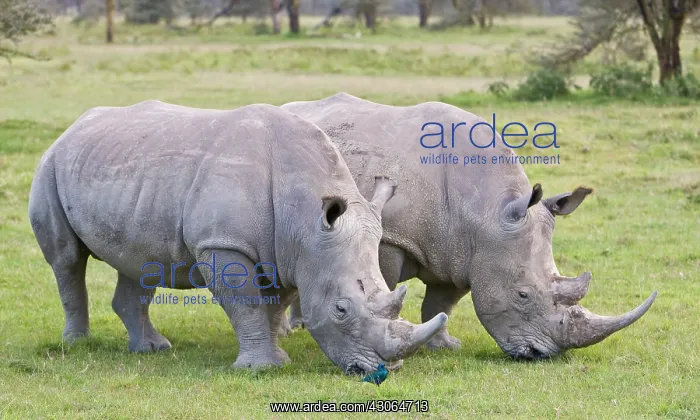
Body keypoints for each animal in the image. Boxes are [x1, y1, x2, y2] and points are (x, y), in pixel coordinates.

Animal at [28, 100, 448, 374]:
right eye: (341, 309)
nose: (382, 370)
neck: (304, 214)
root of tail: (72, 128)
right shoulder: (223, 243)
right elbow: (246, 303)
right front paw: (259, 369)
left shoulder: (290, 252)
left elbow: (275, 305)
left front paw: (276, 361)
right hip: (49, 167)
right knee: (67, 260)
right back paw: (77, 344)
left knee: (137, 264)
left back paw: (151, 349)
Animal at [280, 93, 657, 359]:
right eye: (522, 295)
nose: (541, 354)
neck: (487, 213)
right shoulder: (390, 238)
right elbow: (380, 286)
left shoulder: (462, 253)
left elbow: (441, 304)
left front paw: (445, 346)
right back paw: (289, 331)